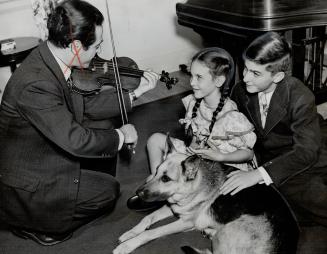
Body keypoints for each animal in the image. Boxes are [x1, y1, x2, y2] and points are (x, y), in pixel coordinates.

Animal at [113, 137, 300, 254]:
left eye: (166, 179)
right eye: (157, 171)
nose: (138, 193)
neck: (195, 185)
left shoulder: (184, 222)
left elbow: (151, 232)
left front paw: (128, 245)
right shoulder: (173, 206)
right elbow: (148, 218)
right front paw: (130, 233)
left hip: (227, 230)